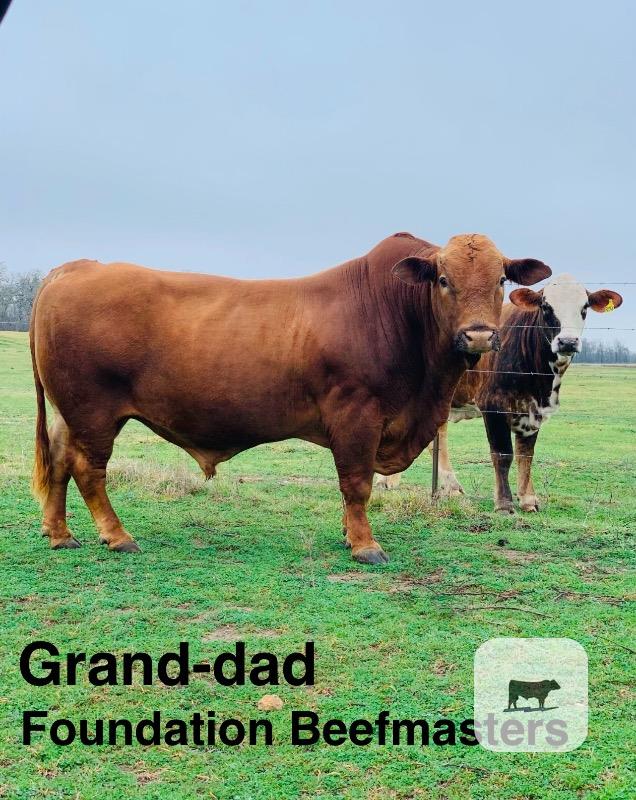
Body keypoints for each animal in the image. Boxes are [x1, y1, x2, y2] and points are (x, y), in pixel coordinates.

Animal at [30, 232, 550, 563]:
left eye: (501, 279)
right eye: (443, 279)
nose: (479, 336)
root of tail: (74, 268)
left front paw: (348, 535)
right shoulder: (357, 414)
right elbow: (357, 483)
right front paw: (365, 546)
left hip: (68, 412)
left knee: (58, 460)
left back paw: (60, 535)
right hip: (94, 411)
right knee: (88, 471)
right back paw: (117, 536)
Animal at [375, 275, 623, 512]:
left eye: (585, 306)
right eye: (546, 306)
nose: (568, 342)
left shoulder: (535, 409)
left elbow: (526, 454)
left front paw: (528, 499)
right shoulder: (493, 404)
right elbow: (503, 454)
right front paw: (504, 503)